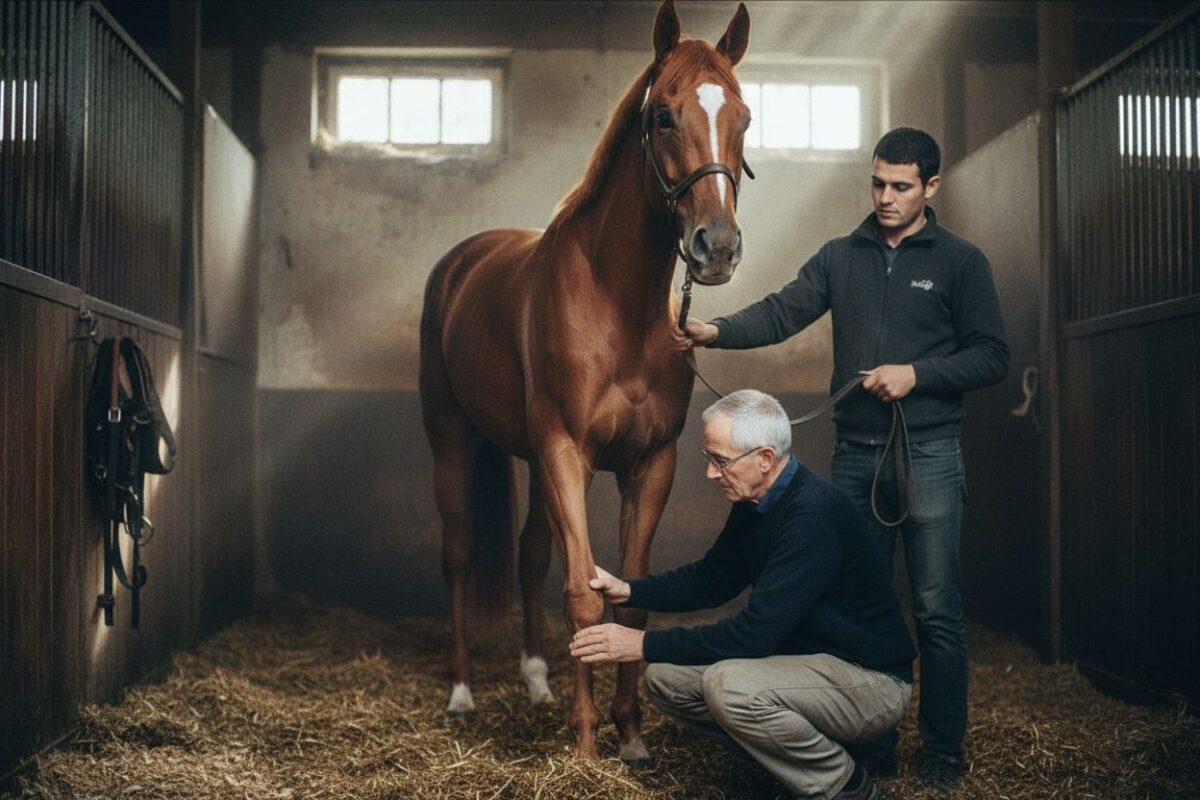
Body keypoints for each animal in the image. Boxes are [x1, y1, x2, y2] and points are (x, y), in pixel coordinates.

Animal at [419, 0, 751, 763]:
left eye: (745, 116)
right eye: (663, 115)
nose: (716, 248)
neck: (616, 303)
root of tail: (460, 264)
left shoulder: (649, 462)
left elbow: (630, 595)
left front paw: (629, 735)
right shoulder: (567, 451)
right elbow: (581, 593)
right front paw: (586, 744)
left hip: (532, 460)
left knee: (528, 555)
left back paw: (537, 683)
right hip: (454, 444)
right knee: (458, 558)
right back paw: (463, 694)